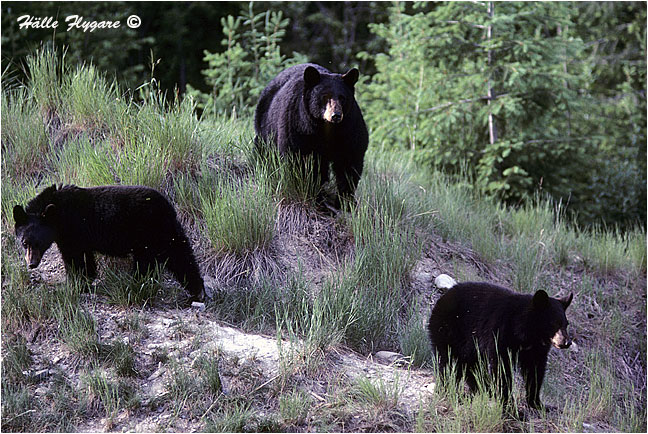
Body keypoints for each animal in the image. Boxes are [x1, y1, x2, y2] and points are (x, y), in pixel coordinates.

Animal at [13, 184, 205, 302]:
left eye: (38, 242)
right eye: (24, 243)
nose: (32, 264)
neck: (58, 214)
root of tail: (168, 207)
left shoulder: (74, 230)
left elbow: (76, 258)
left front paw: (76, 283)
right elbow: (84, 259)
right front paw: (82, 281)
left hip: (149, 234)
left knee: (153, 261)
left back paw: (137, 284)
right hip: (164, 234)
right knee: (180, 254)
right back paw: (197, 291)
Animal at [254, 63, 369, 207]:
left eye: (342, 97)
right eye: (325, 96)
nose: (336, 115)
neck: (327, 128)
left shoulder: (349, 130)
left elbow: (349, 163)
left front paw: (345, 202)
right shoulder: (298, 126)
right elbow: (297, 160)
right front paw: (311, 194)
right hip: (265, 124)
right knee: (264, 150)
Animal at [427, 281, 573, 410]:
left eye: (566, 324)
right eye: (554, 323)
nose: (567, 342)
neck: (527, 333)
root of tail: (442, 298)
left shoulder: (535, 349)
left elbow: (535, 371)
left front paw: (538, 404)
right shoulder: (500, 334)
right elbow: (502, 369)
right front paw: (512, 408)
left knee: (470, 365)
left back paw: (483, 389)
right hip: (448, 331)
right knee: (446, 362)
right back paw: (448, 389)